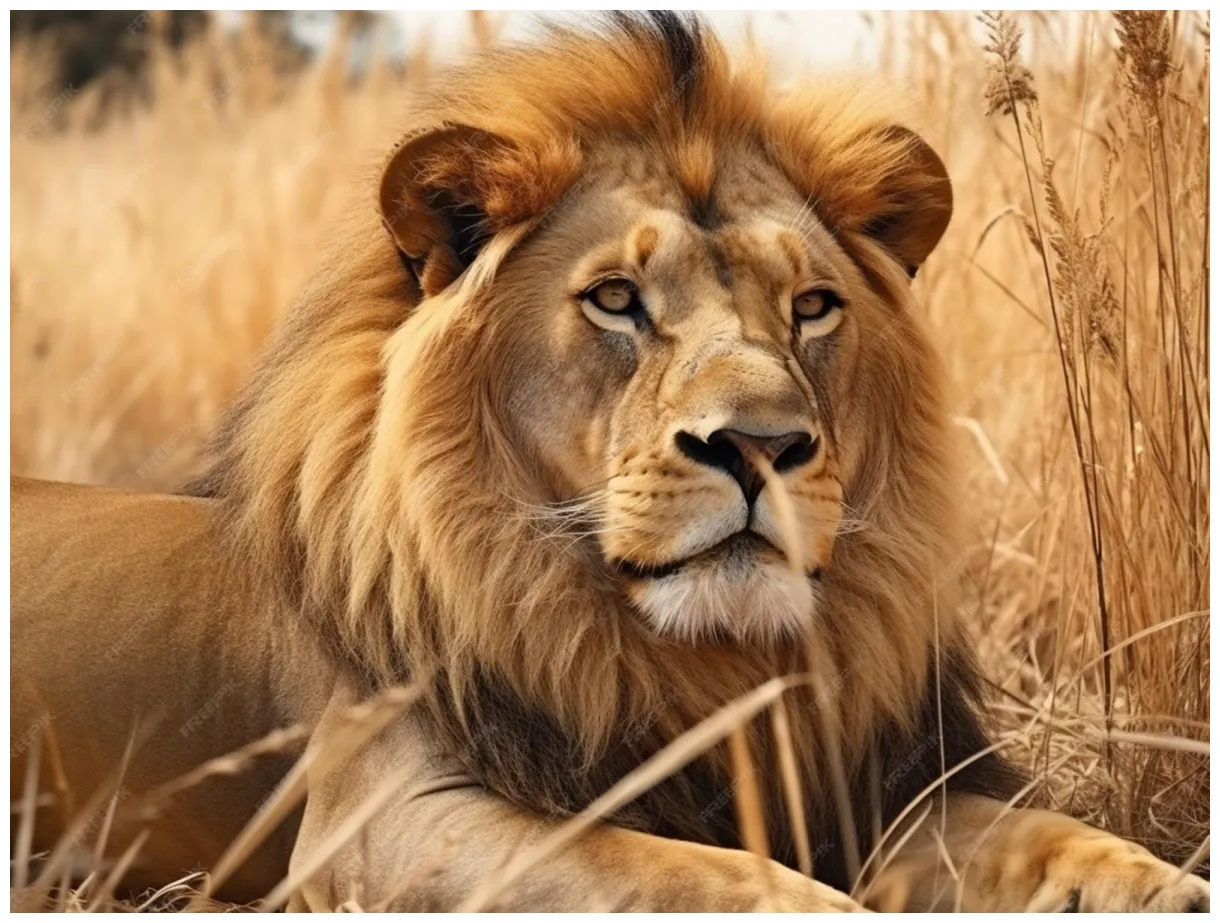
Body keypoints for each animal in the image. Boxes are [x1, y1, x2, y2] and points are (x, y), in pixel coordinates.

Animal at [11, 13, 1209, 912]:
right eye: (617, 300)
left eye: (812, 306)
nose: (762, 444)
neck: (696, 663)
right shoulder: (380, 818)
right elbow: (674, 866)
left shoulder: (887, 787)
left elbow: (1049, 836)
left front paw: (1154, 882)